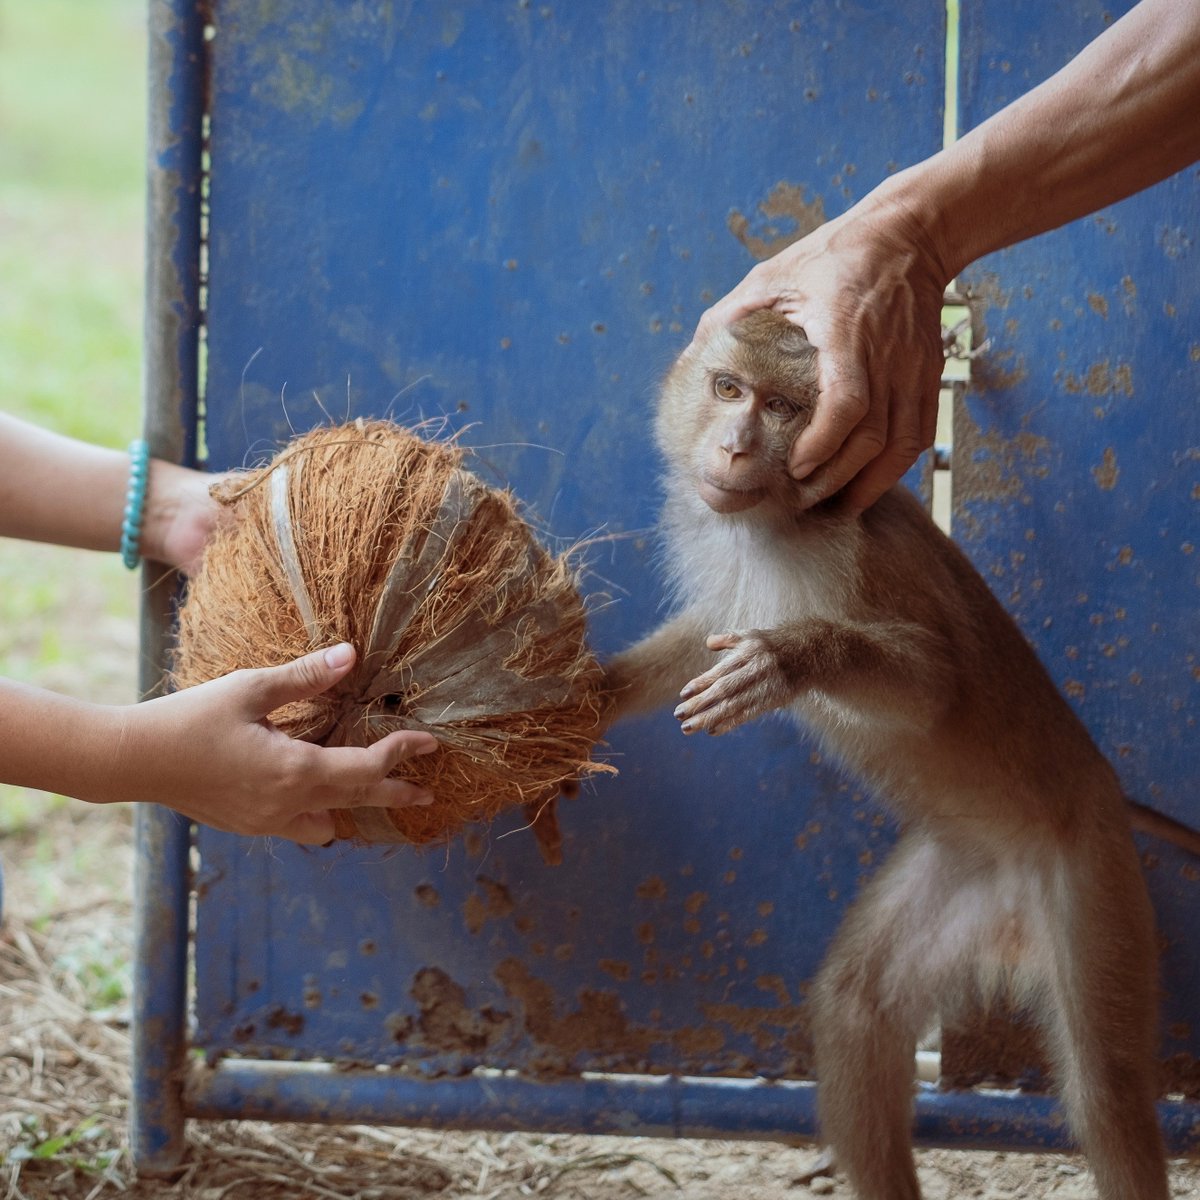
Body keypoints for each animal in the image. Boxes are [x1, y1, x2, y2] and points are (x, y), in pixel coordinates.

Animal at [599, 309, 1173, 1200]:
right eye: (728, 388)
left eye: (779, 408)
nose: (732, 446)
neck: (773, 522)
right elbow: (704, 636)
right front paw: (589, 693)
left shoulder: (857, 559)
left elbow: (933, 685)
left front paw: (793, 658)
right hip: (966, 876)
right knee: (856, 1011)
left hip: (1092, 874)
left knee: (1108, 1092)